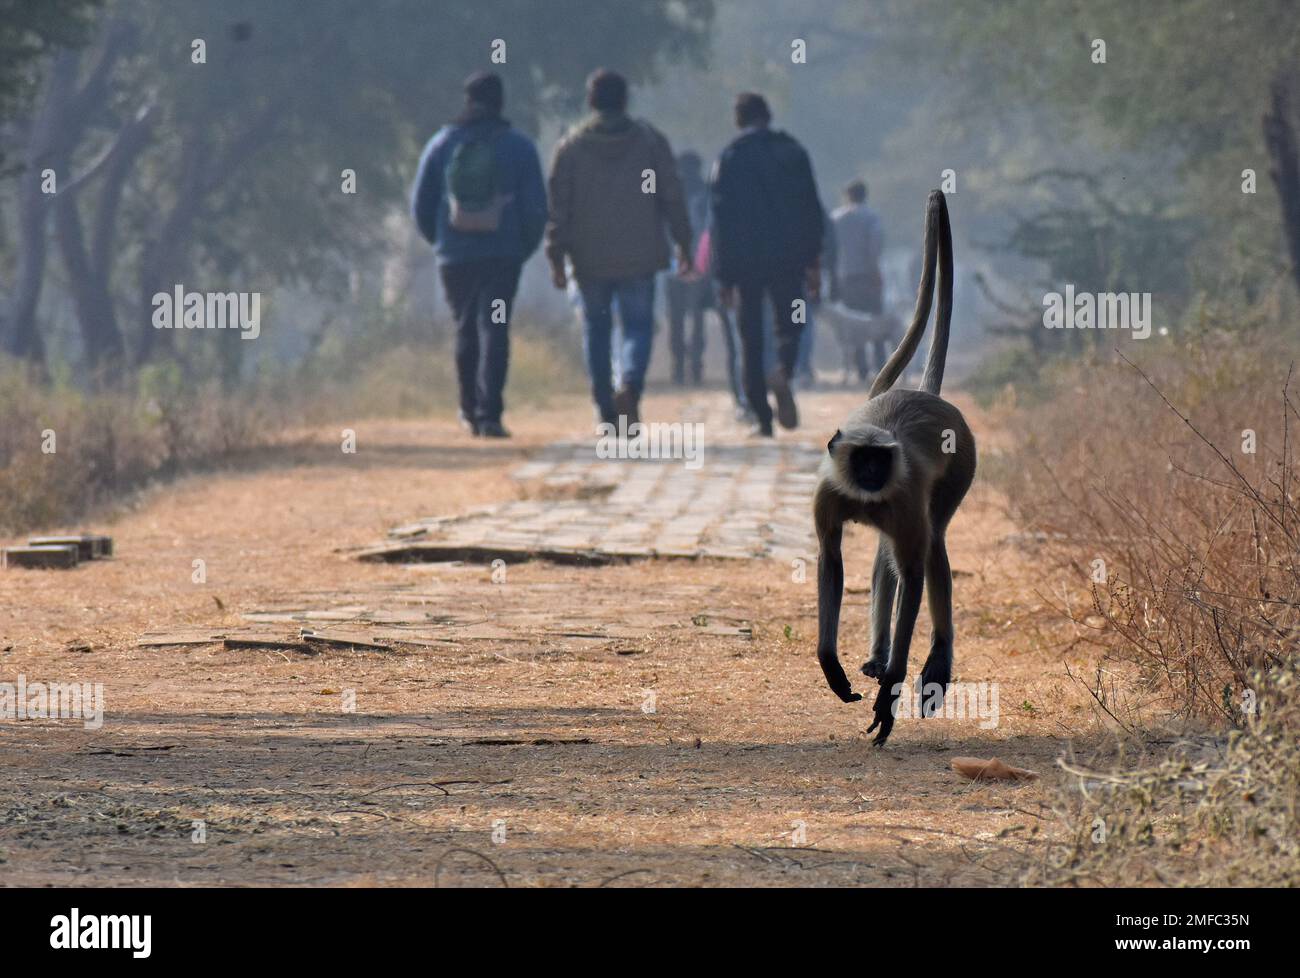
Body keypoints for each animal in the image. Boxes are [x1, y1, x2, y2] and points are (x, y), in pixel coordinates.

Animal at [811, 187, 977, 743]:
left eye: (879, 460)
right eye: (861, 459)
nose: (870, 475)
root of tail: (925, 394)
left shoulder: (901, 499)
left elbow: (913, 571)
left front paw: (892, 693)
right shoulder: (829, 494)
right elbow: (832, 558)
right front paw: (832, 665)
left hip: (962, 464)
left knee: (933, 545)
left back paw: (934, 661)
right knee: (885, 557)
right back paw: (877, 655)